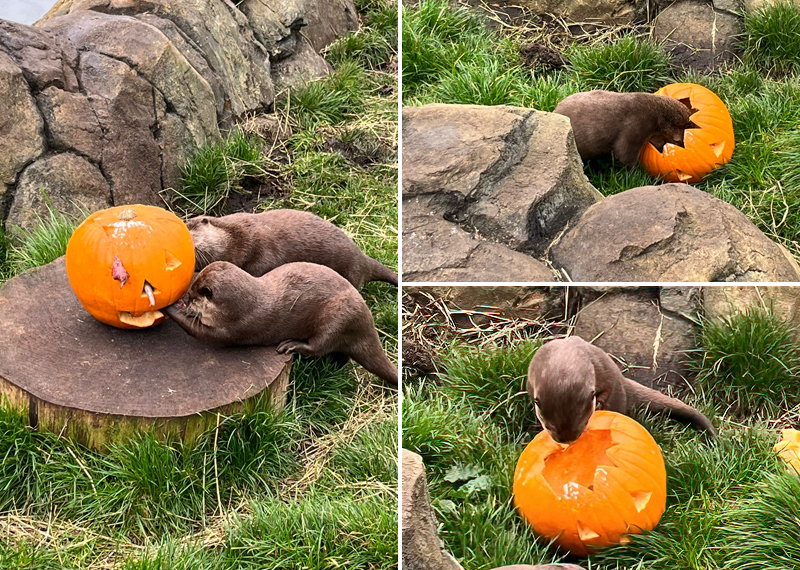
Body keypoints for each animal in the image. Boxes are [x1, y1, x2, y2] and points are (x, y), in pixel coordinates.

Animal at [163, 261, 398, 385]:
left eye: (193, 297)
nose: (187, 301)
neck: (247, 303)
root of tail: (367, 320)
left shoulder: (233, 329)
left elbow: (199, 332)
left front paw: (172, 307)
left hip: (338, 318)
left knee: (320, 346)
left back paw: (292, 345)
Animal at [527, 336, 715, 444]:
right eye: (549, 425)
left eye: (584, 421)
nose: (566, 441)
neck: (563, 363)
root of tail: (625, 382)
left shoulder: (603, 369)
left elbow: (606, 391)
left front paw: (599, 404)